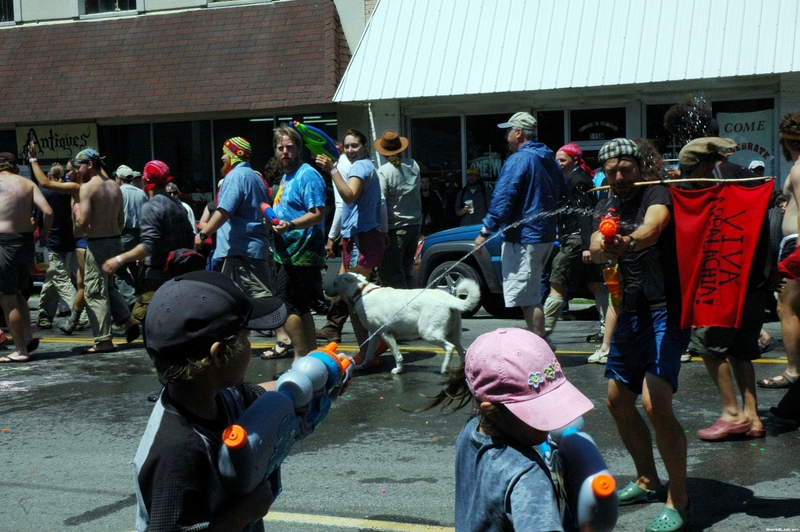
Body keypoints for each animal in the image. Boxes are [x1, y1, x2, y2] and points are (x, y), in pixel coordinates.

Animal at [332, 274, 482, 374]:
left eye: (335, 283)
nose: (326, 289)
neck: (362, 292)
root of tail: (449, 299)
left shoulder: (386, 333)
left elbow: (397, 354)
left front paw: (398, 370)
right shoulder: (375, 334)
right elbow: (369, 353)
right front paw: (362, 366)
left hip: (428, 333)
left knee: (450, 348)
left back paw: (444, 368)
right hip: (454, 335)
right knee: (462, 351)